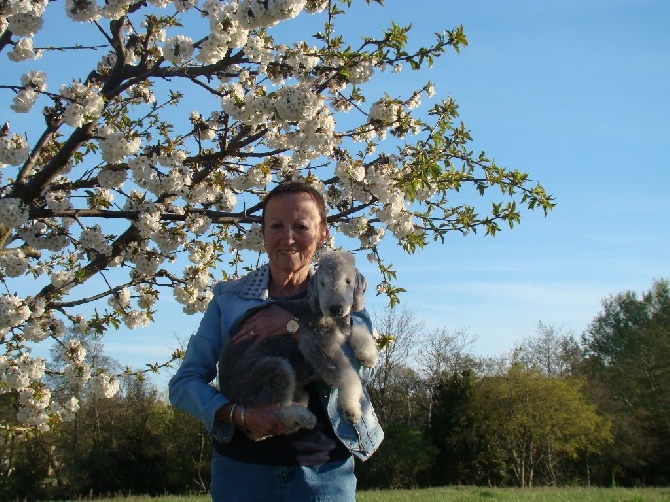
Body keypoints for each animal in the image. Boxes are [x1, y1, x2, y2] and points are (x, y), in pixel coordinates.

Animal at [219, 251, 378, 440]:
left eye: (347, 281)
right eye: (322, 283)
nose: (335, 308)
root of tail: (228, 394)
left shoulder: (343, 329)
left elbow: (358, 330)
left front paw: (369, 355)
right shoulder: (317, 343)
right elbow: (346, 375)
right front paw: (351, 409)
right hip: (271, 370)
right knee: (274, 414)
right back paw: (303, 417)